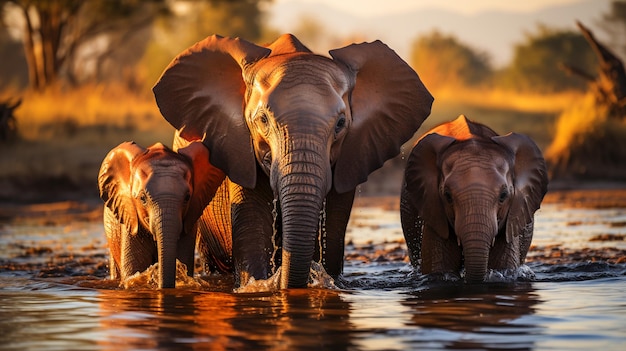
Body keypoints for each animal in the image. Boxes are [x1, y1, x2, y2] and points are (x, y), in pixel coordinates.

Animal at [154, 34, 432, 290]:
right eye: (262, 120)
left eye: (341, 124)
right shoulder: (238, 148)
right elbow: (252, 226)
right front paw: (257, 285)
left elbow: (333, 227)